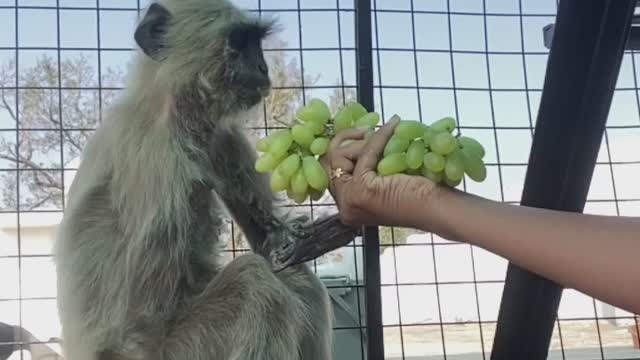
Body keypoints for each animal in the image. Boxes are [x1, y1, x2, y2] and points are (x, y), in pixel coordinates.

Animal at [52, 0, 358, 360]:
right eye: (238, 43)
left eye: (255, 43)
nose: (262, 67)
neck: (172, 112)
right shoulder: (158, 159)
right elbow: (140, 317)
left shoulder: (221, 138)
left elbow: (270, 247)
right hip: (182, 348)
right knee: (256, 283)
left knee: (291, 277)